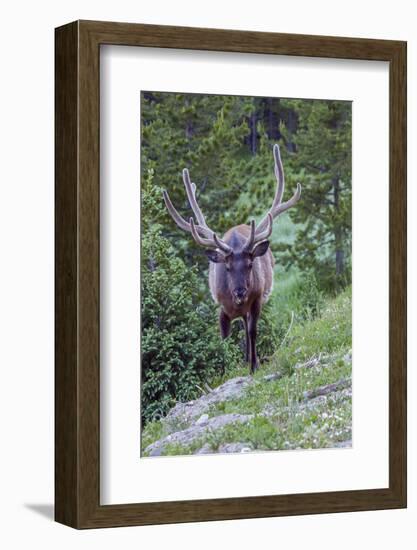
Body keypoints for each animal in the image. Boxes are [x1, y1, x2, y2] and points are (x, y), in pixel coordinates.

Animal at [161, 144, 300, 376]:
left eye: (250, 265)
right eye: (226, 267)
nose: (240, 292)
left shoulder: (257, 299)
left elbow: (253, 331)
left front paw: (253, 366)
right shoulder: (221, 307)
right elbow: (224, 340)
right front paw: (225, 370)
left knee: (246, 326)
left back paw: (249, 358)